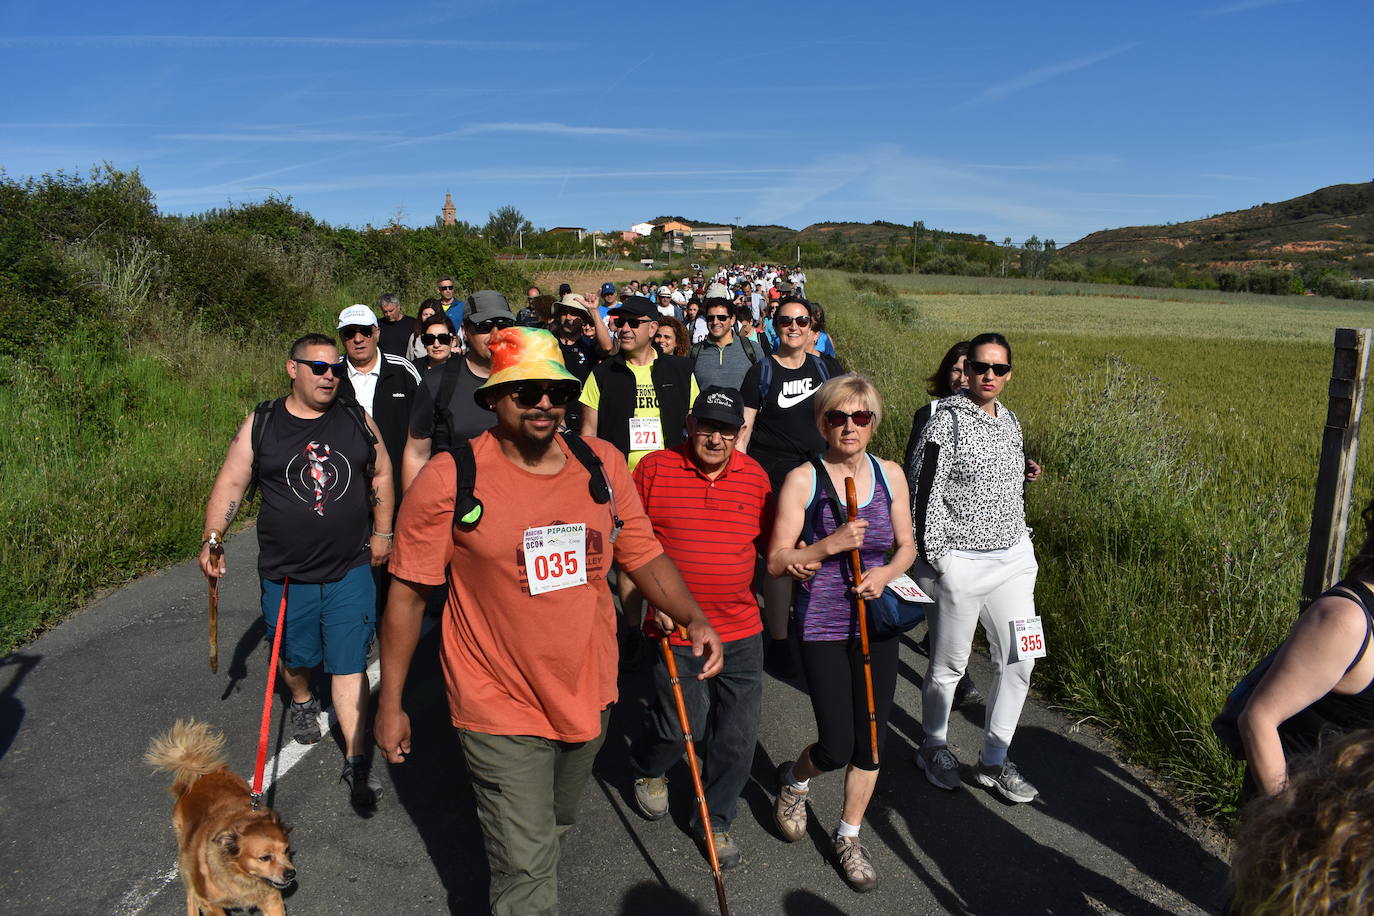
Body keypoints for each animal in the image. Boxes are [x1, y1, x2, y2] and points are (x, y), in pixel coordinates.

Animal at [145, 725, 295, 916]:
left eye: (286, 850)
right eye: (265, 858)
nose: (291, 874)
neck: (240, 874)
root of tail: (200, 776)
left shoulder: (271, 899)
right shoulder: (210, 903)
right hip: (185, 859)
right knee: (190, 894)